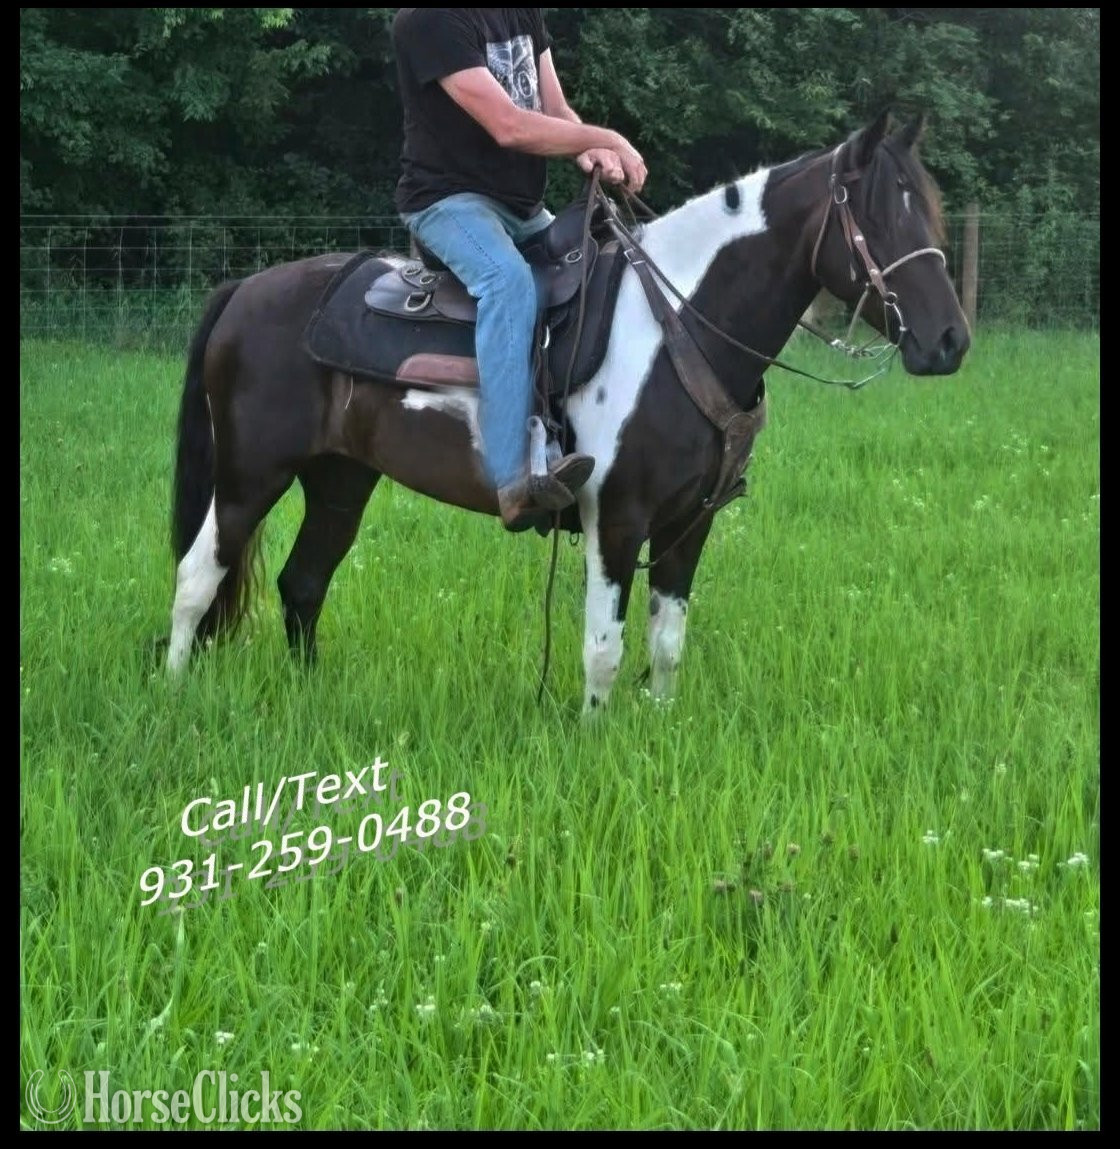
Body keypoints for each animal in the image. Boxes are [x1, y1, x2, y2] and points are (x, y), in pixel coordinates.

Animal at [166, 110, 970, 713]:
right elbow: (603, 645)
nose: (949, 341)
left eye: (928, 208)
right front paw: (593, 738)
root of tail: (244, 290)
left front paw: (661, 727)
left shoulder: (692, 520)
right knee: (198, 576)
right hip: (249, 474)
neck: (680, 327)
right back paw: (176, 698)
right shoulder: (615, 515)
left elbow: (667, 641)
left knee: (303, 583)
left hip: (340, 478)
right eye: (875, 216)